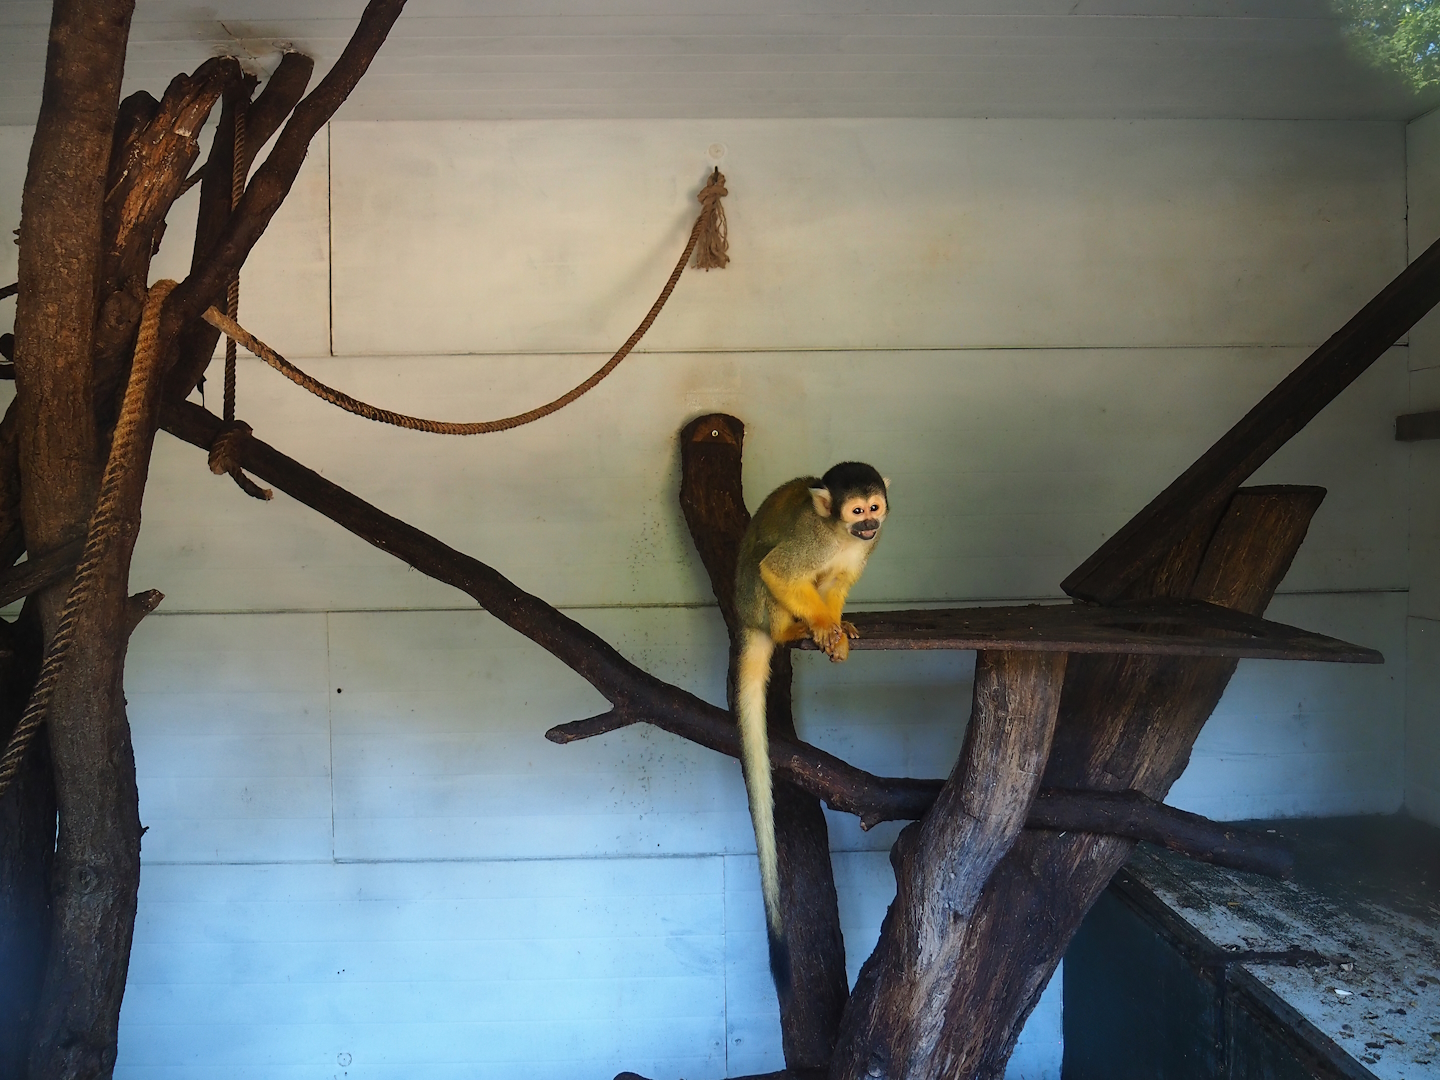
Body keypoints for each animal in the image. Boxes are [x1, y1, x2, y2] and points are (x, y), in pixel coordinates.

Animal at [732, 461, 889, 990]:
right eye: (855, 511)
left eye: (874, 507)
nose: (870, 525)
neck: (840, 535)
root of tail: (745, 622)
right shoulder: (811, 541)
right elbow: (778, 569)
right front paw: (823, 626)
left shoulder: (863, 550)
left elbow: (838, 578)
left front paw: (839, 626)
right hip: (754, 603)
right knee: (765, 568)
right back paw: (790, 630)